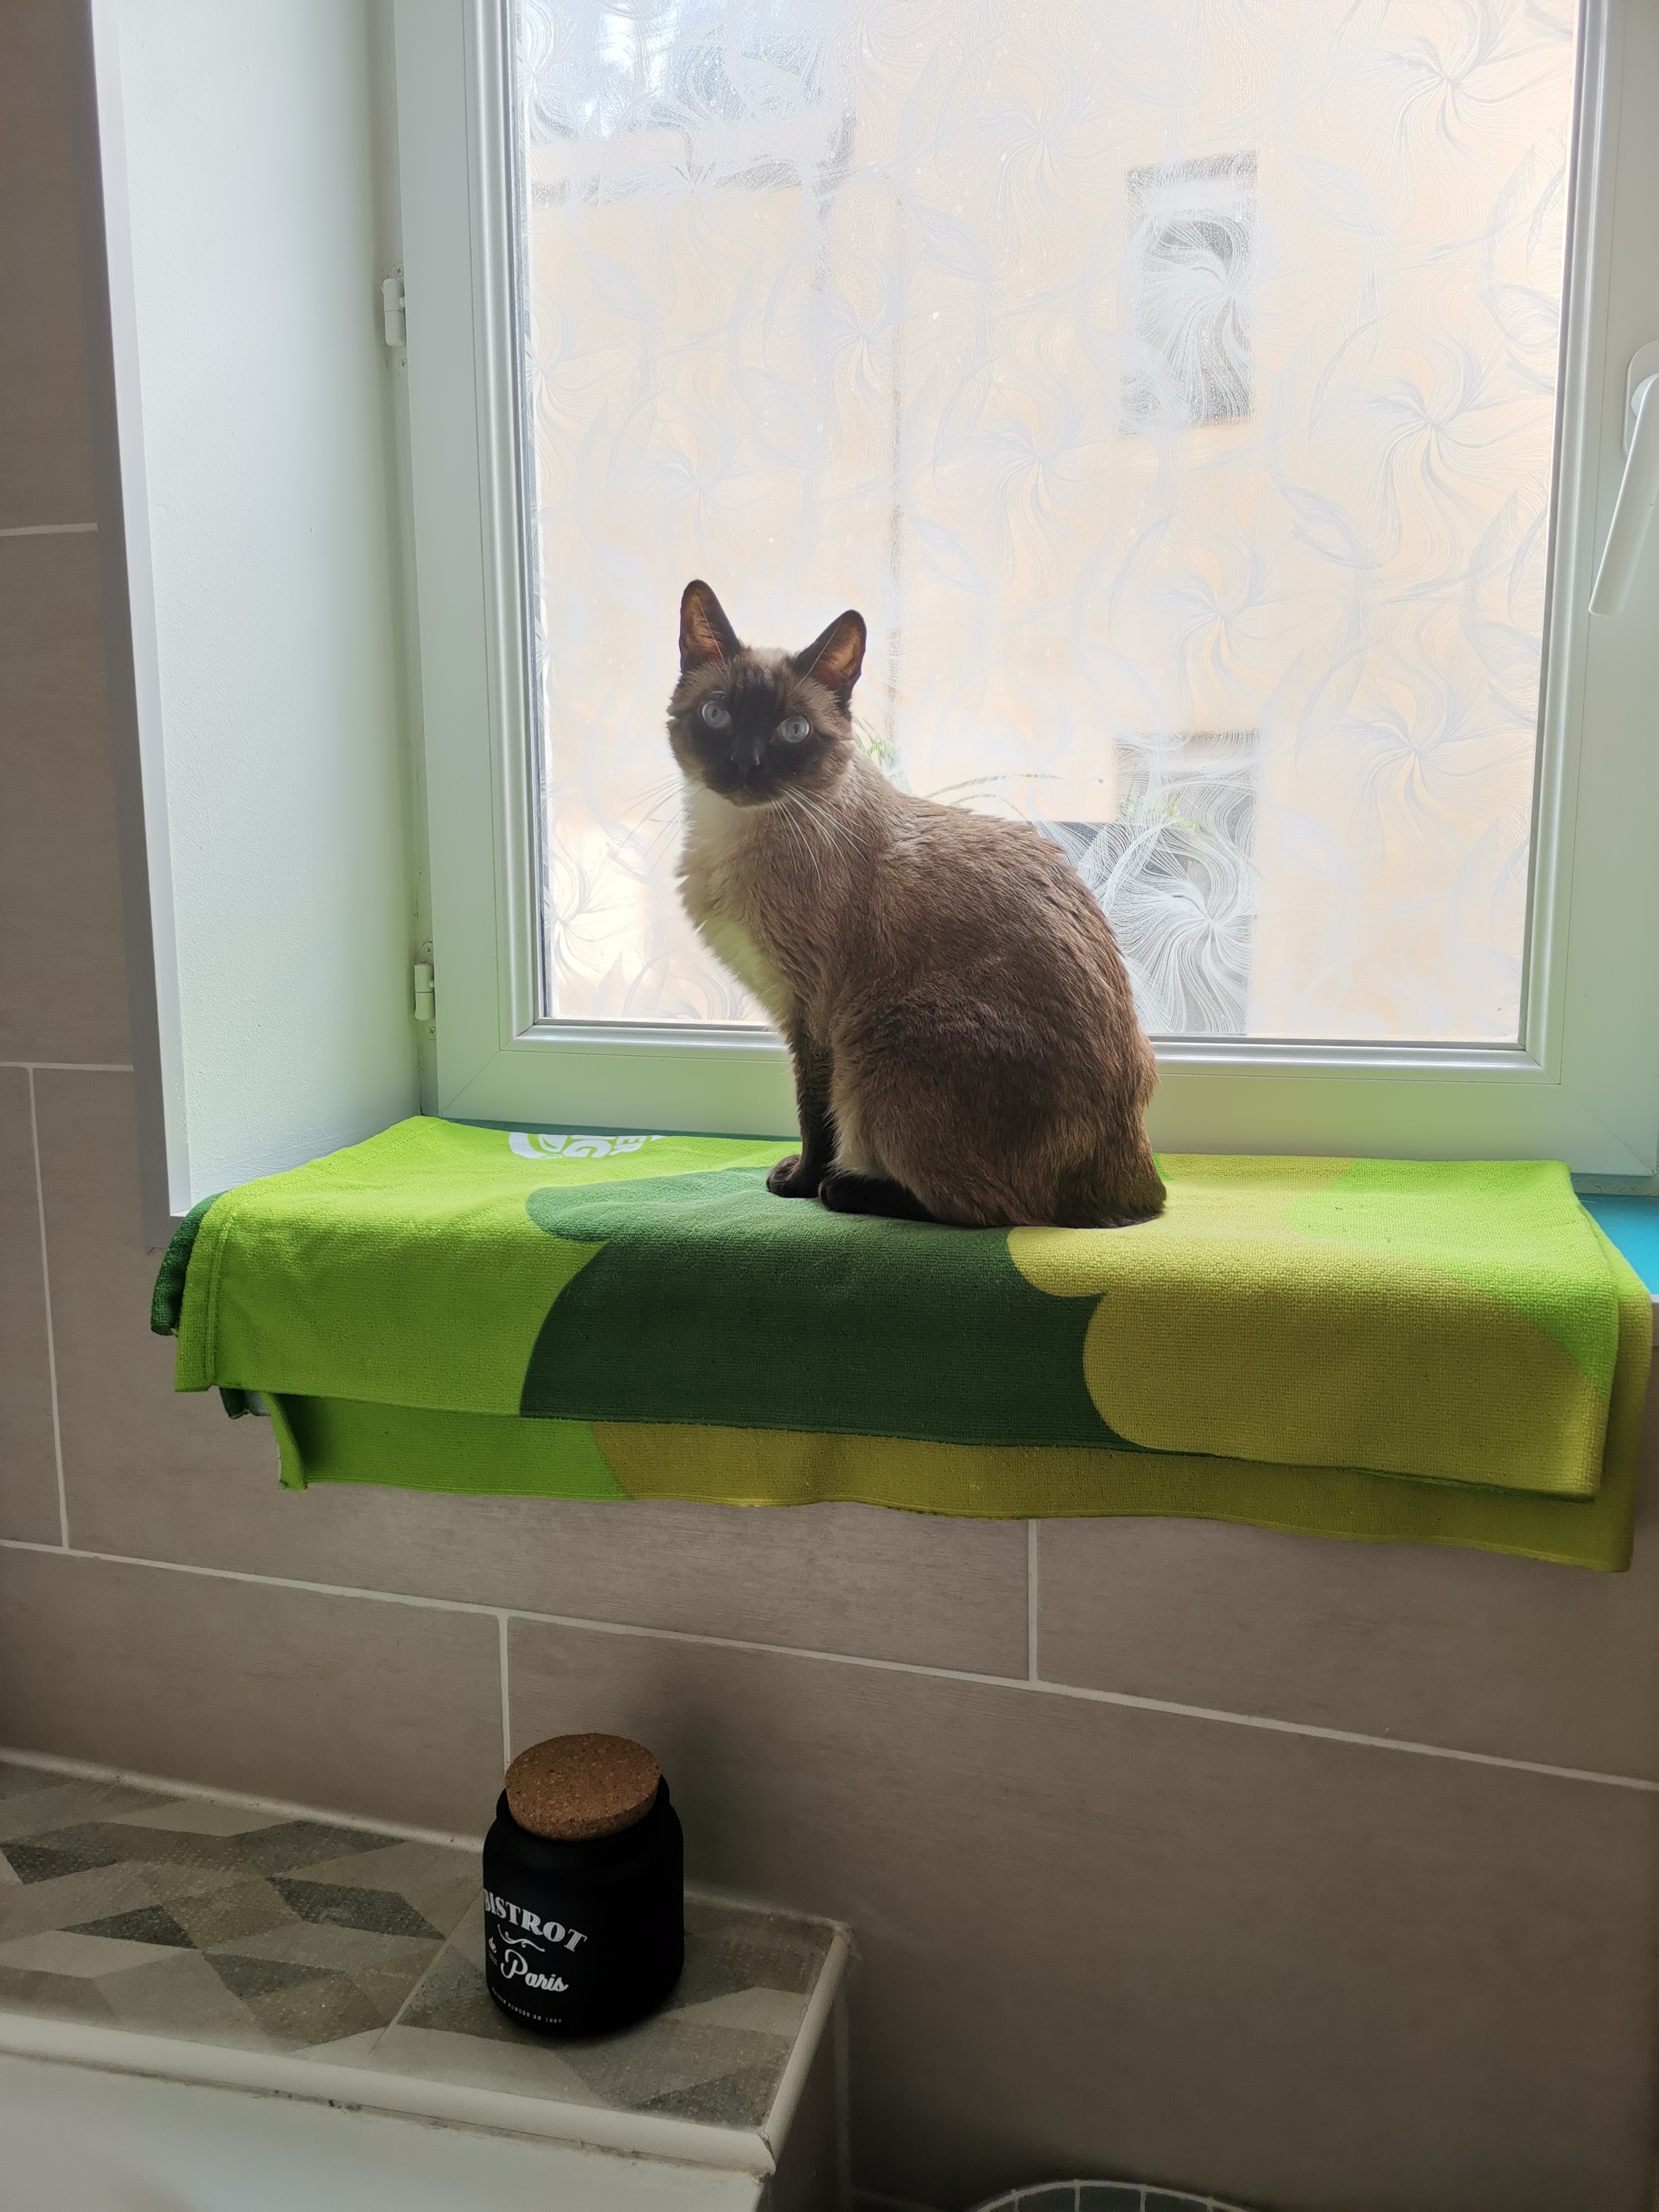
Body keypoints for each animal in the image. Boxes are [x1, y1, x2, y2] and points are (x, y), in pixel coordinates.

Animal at [668, 579, 1166, 1229]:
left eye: (793, 731)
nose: (746, 766)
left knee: (994, 1209)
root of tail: (1142, 1185)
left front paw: (798, 1183)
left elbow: (814, 1117)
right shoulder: (799, 1010)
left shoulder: (814, 1017)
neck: (734, 831)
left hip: (880, 1048)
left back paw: (844, 1187)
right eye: (717, 715)